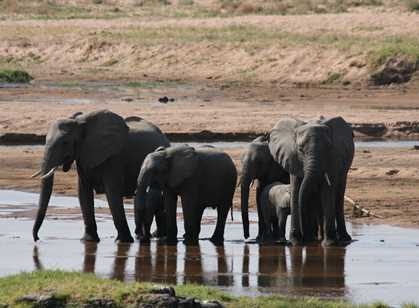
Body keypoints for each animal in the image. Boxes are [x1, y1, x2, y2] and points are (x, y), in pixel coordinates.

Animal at [30, 110, 171, 243]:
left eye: (65, 142)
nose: (37, 239)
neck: (81, 122)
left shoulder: (114, 158)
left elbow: (112, 193)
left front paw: (123, 241)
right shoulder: (83, 156)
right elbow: (83, 193)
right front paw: (88, 240)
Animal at [270, 116, 354, 247]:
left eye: (328, 148)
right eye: (300, 150)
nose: (305, 237)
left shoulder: (334, 159)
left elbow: (327, 191)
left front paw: (329, 244)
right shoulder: (293, 159)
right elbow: (296, 191)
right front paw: (295, 242)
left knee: (338, 196)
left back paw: (343, 238)